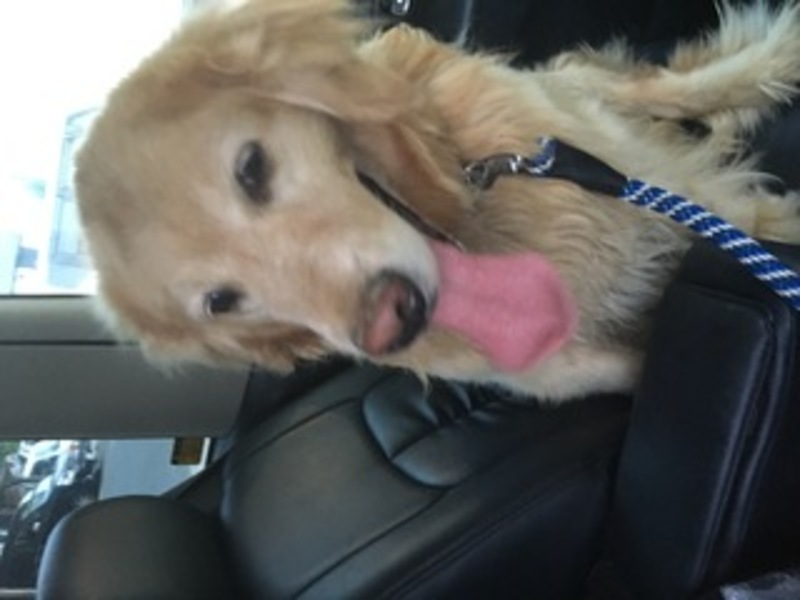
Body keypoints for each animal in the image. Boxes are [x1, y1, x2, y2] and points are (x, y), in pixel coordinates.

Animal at [75, 0, 800, 401]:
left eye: (251, 169)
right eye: (222, 302)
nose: (388, 324)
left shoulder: (660, 187)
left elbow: (747, 213)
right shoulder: (573, 371)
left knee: (666, 88)